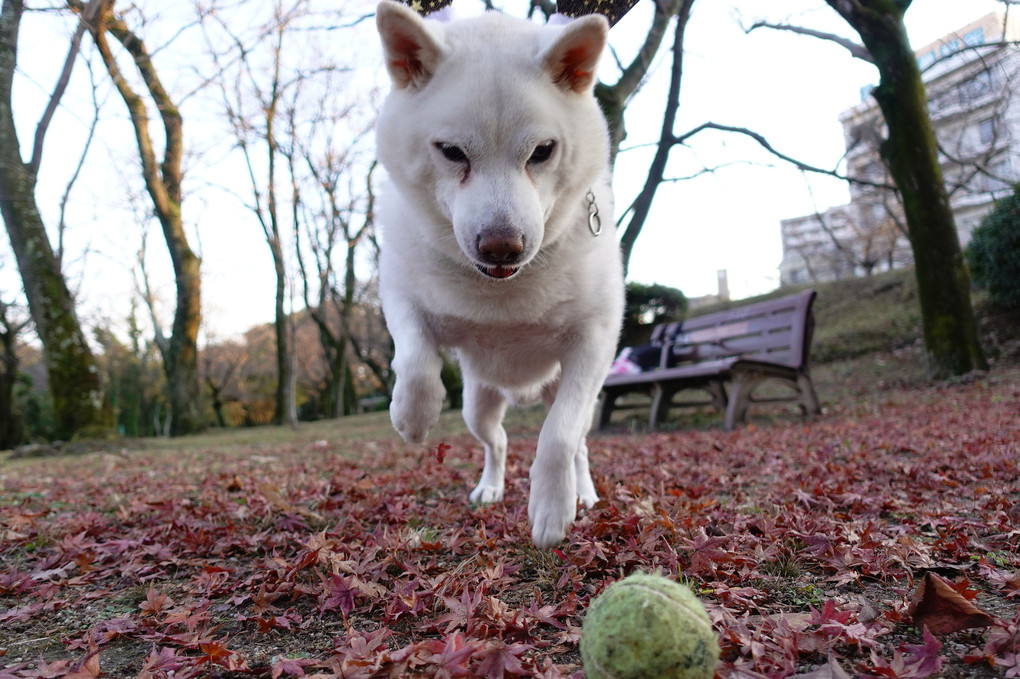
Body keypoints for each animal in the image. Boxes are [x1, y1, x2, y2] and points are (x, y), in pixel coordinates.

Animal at [379, 0, 624, 546]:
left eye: (542, 151)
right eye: (452, 152)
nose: (501, 246)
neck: (503, 293)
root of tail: (522, 388)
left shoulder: (596, 341)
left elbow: (557, 437)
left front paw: (553, 507)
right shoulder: (399, 294)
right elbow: (415, 361)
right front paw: (412, 415)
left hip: (574, 394)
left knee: (577, 442)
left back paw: (584, 492)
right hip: (479, 405)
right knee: (500, 441)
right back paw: (490, 487)